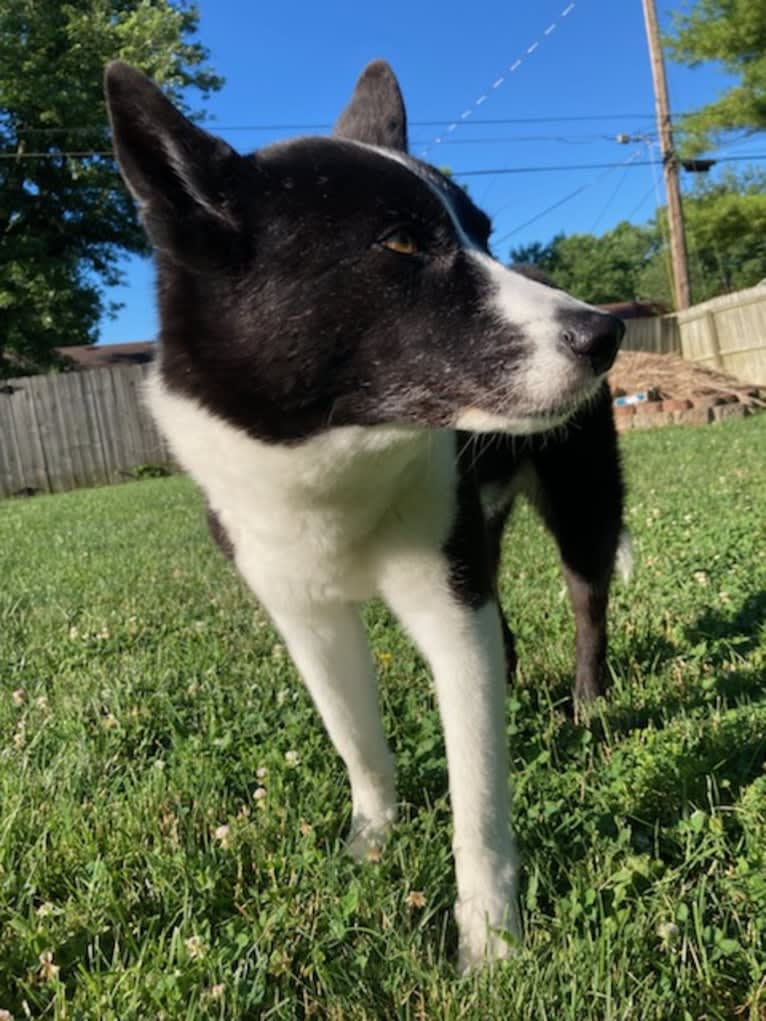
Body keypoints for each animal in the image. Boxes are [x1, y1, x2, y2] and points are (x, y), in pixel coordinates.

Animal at [105, 57, 625, 971]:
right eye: (403, 244)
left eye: (484, 233)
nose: (605, 336)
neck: (333, 454)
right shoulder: (307, 618)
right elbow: (357, 739)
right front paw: (370, 842)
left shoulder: (447, 603)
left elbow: (476, 795)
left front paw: (490, 945)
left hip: (581, 501)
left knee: (584, 601)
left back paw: (588, 700)